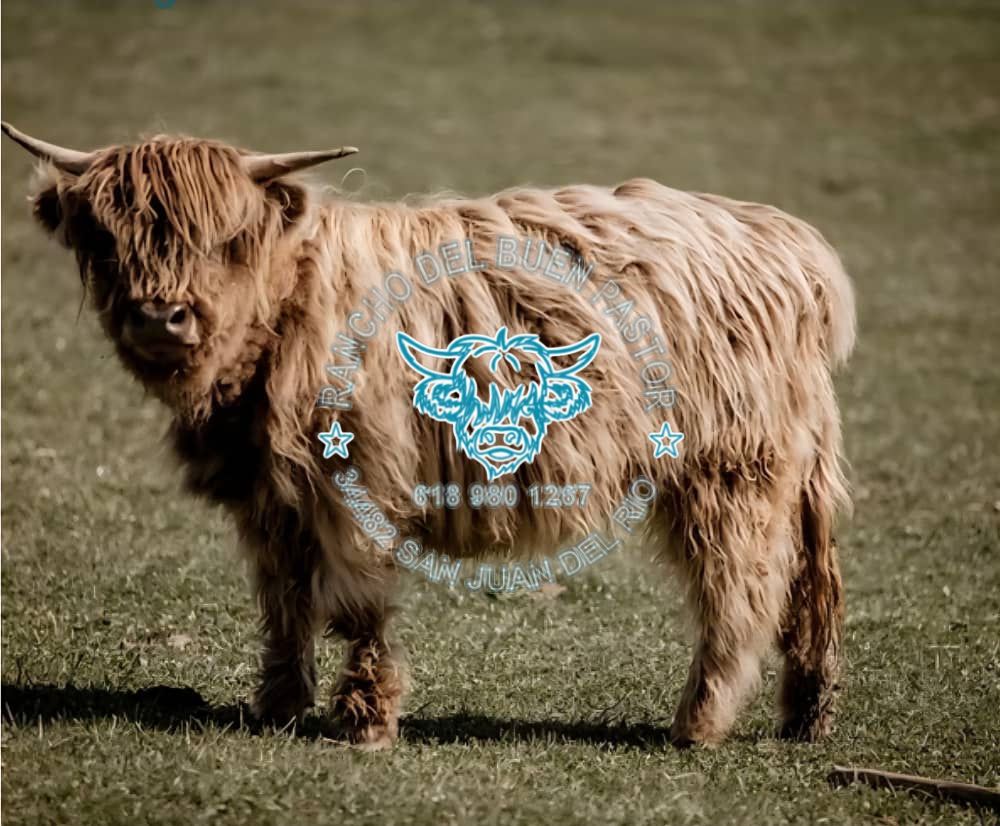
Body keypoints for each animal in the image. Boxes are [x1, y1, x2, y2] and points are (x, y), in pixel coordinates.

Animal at [2, 122, 855, 750]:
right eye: (105, 241)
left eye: (229, 240)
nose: (160, 317)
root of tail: (785, 238)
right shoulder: (272, 497)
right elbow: (283, 597)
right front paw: (278, 704)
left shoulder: (358, 481)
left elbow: (358, 606)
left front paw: (366, 719)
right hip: (797, 468)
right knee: (812, 583)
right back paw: (807, 715)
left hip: (730, 470)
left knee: (739, 590)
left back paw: (698, 722)